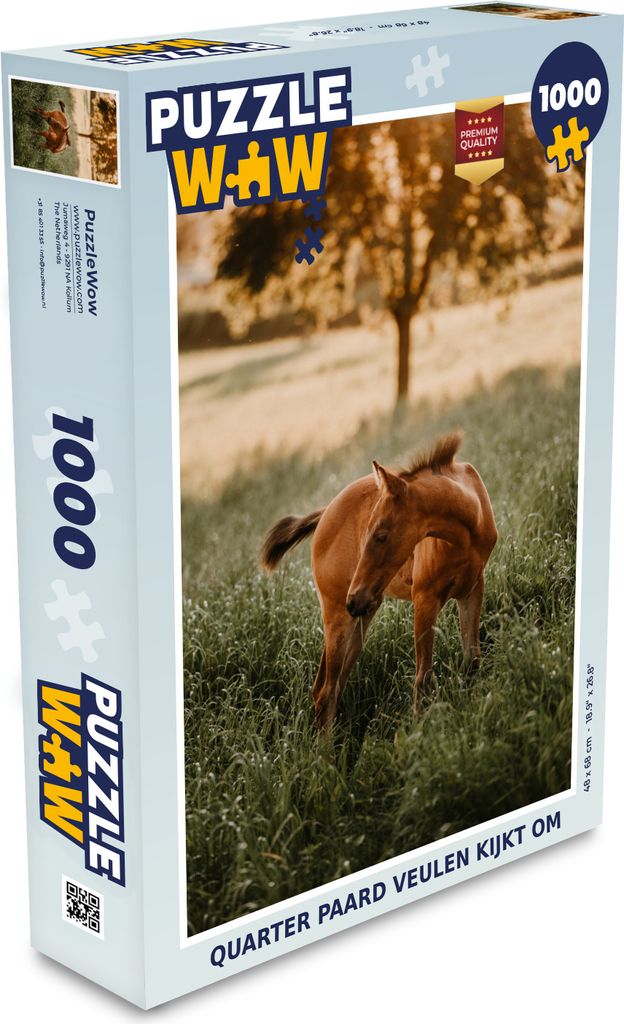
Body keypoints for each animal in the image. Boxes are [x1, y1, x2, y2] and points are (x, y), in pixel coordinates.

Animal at [261, 432, 497, 731]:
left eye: (381, 535)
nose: (353, 598)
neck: (467, 531)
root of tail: (324, 514)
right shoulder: (425, 599)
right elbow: (423, 678)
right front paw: (421, 734)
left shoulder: (472, 588)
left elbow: (472, 659)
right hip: (339, 616)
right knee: (326, 692)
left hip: (362, 616)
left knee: (329, 686)